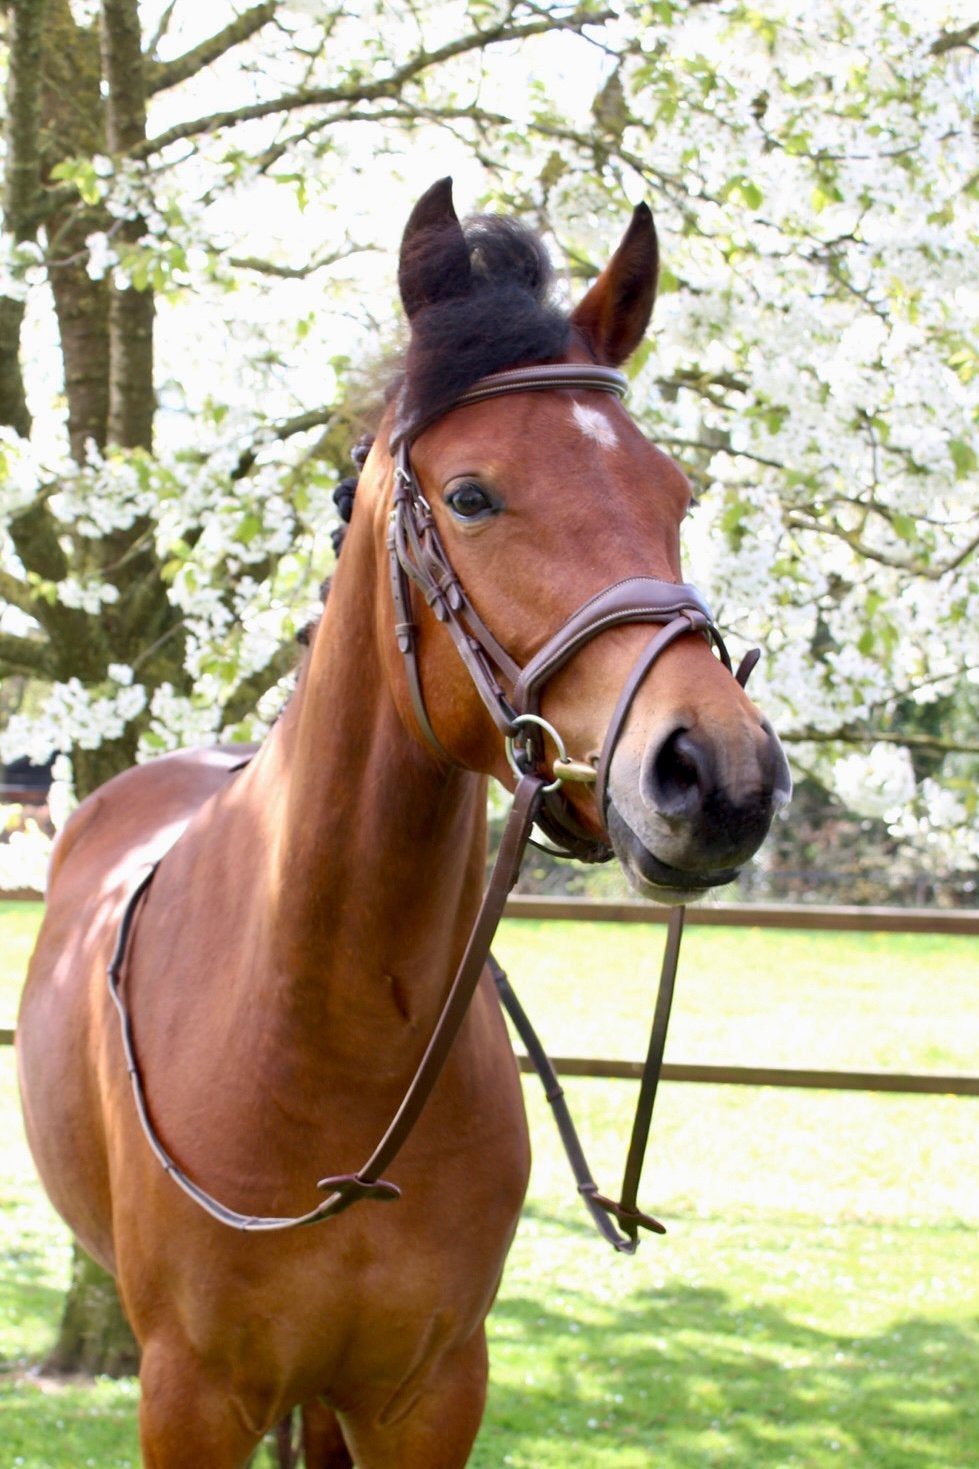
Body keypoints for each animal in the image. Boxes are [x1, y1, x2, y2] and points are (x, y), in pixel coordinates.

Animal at [17, 178, 791, 1467]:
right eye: (472, 494)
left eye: (675, 494)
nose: (719, 773)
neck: (325, 1044)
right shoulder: (189, 1397)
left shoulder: (425, 1392)